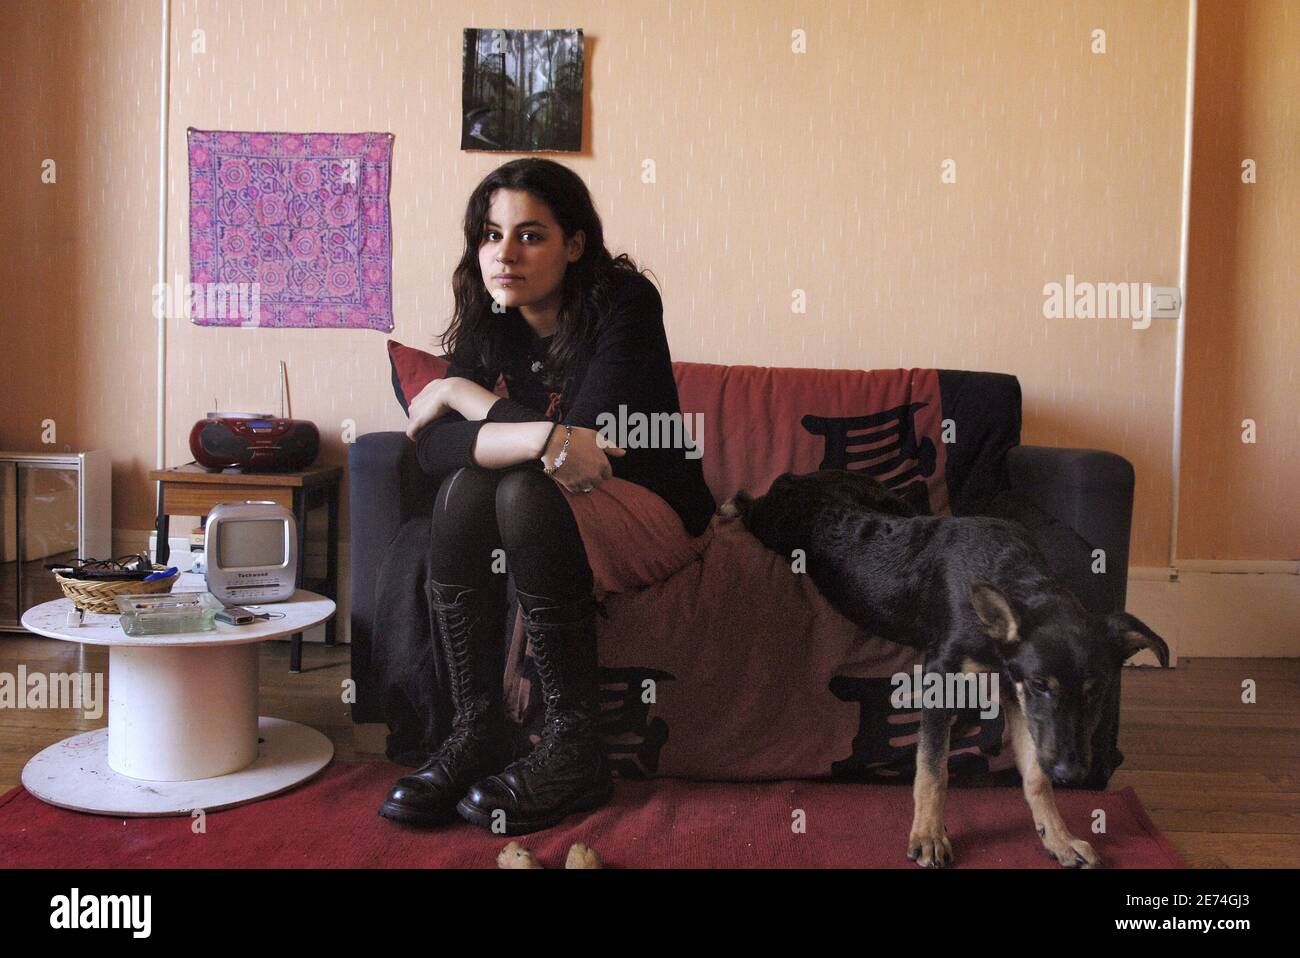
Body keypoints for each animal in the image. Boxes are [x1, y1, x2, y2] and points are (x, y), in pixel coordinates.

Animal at [722, 470, 1170, 868]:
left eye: (1097, 692)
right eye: (1041, 684)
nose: (1071, 773)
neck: (1014, 577)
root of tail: (799, 477)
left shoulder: (1013, 689)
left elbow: (1035, 778)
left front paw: (1058, 838)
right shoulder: (945, 676)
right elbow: (933, 770)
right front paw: (928, 836)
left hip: (894, 503)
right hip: (772, 523)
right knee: (749, 503)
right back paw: (731, 505)